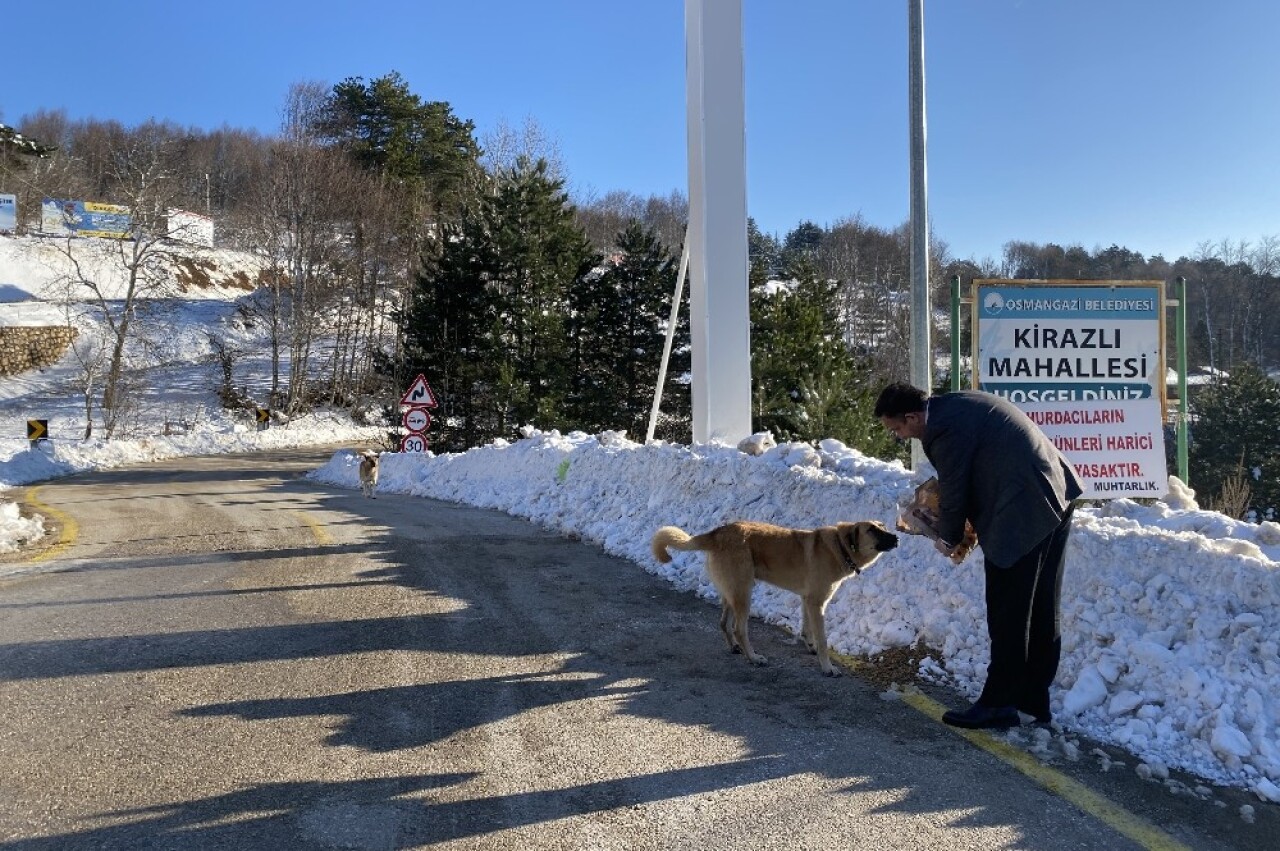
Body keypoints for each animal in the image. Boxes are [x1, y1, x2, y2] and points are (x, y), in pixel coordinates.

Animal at [650, 516, 901, 675]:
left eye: (883, 526)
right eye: (872, 530)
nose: (897, 537)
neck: (840, 546)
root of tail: (718, 532)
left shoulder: (807, 600)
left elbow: (807, 629)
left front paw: (810, 646)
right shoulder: (817, 603)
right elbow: (822, 638)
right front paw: (827, 667)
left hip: (732, 592)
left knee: (723, 623)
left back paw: (734, 648)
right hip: (743, 592)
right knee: (739, 629)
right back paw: (753, 658)